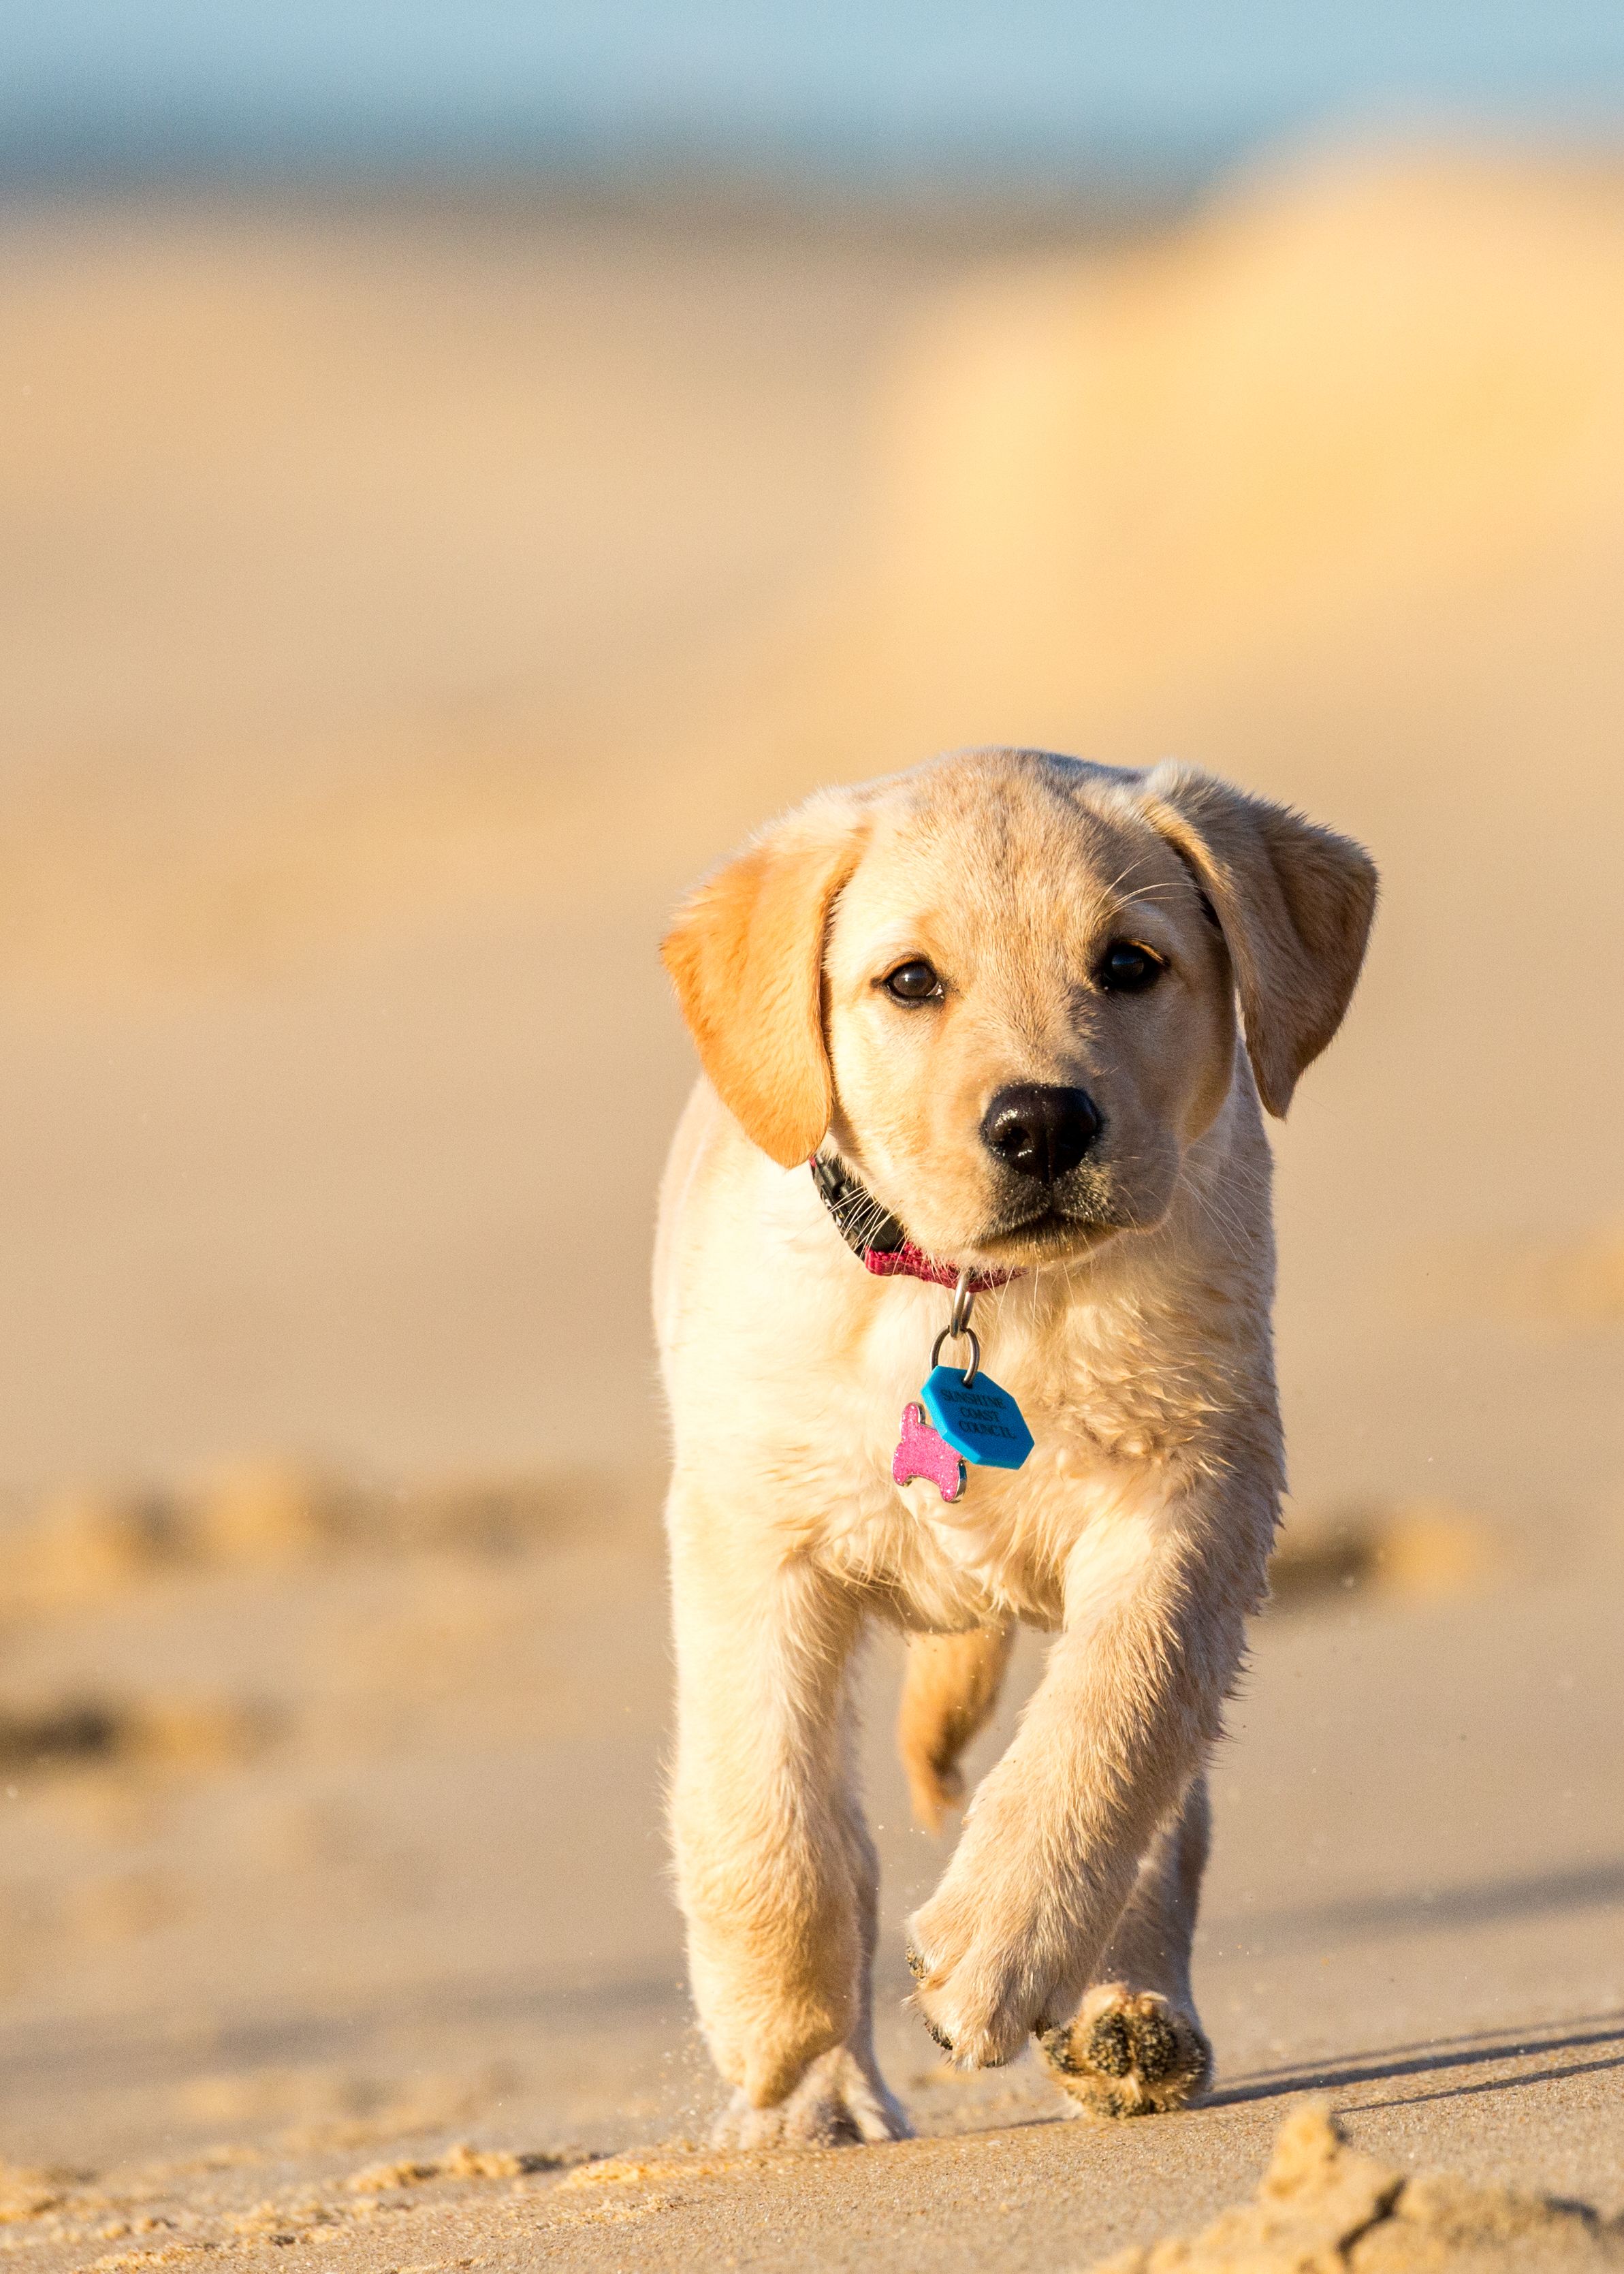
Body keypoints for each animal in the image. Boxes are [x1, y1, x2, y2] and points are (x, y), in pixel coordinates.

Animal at [650, 750, 1373, 2147]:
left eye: (1130, 964)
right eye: (910, 981)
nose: (1041, 1122)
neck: (978, 1298)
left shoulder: (1195, 1494)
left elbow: (1113, 1725)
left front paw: (996, 1948)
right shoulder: (750, 1531)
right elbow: (768, 1809)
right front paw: (780, 2042)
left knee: (1163, 1794)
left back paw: (1129, 2015)